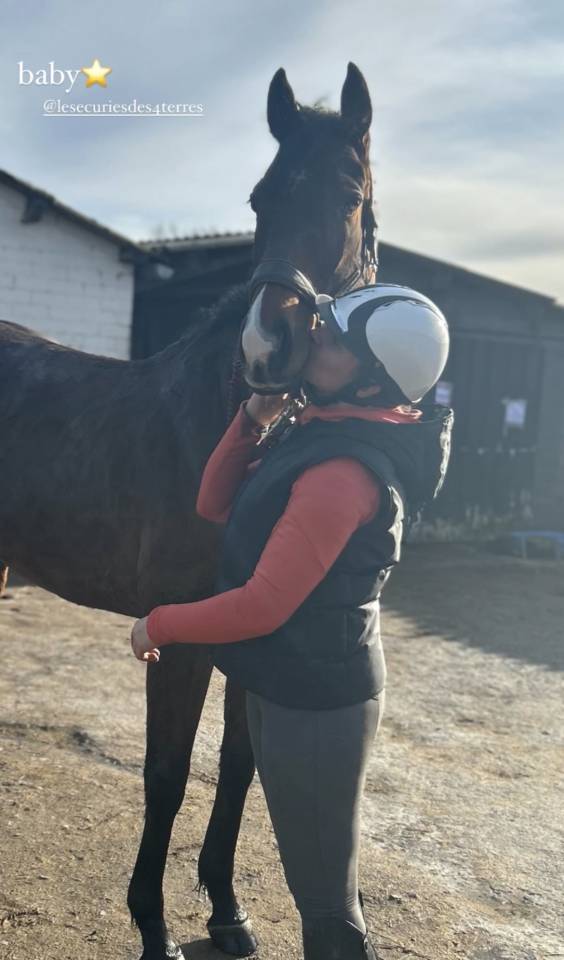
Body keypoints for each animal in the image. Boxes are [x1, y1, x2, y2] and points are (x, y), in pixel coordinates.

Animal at [0, 62, 377, 960]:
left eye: (349, 196)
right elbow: (166, 775)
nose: (267, 351)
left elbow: (237, 766)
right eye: (259, 200)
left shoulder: (255, 629)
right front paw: (153, 926)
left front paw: (228, 912)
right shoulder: (183, 640)